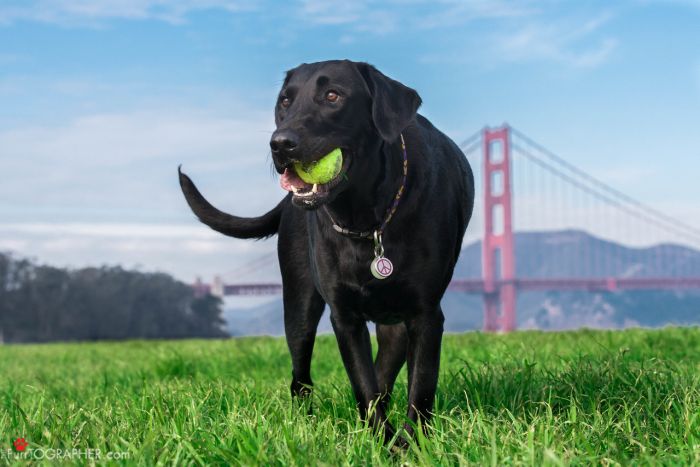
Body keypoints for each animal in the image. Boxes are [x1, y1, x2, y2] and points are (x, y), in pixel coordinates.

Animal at [180, 60, 476, 444]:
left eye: (333, 96)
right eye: (285, 100)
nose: (280, 143)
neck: (368, 218)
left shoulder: (425, 315)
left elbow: (420, 388)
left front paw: (411, 444)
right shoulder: (344, 317)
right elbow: (364, 387)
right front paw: (382, 442)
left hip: (393, 325)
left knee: (384, 372)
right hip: (299, 306)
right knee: (300, 378)